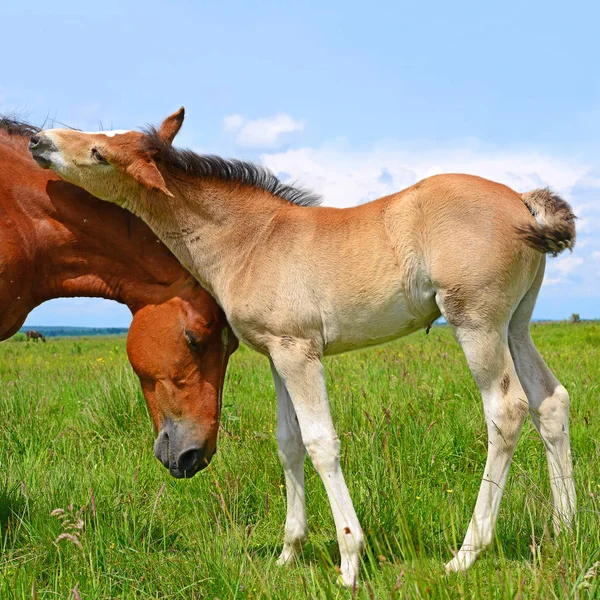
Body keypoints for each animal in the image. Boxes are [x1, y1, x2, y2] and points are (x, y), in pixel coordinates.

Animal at [31, 109, 576, 584]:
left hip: (476, 323)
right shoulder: (277, 356)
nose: (40, 140)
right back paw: (565, 529)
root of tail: (520, 198)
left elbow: (320, 443)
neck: (250, 241)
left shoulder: (299, 352)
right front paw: (288, 553)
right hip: (516, 325)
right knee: (550, 400)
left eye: (100, 153)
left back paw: (466, 554)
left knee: (507, 409)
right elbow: (288, 442)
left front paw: (350, 560)